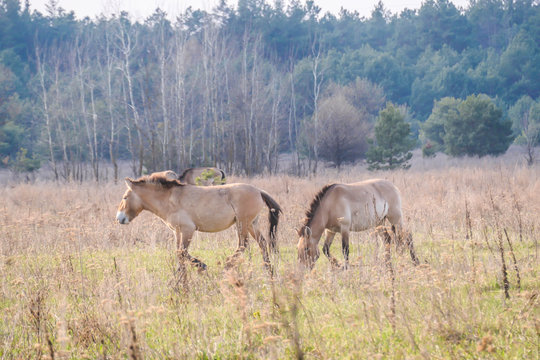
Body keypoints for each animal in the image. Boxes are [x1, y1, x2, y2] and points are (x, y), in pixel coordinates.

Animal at [115, 174, 280, 272]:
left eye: (124, 197)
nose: (119, 218)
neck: (170, 199)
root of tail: (258, 191)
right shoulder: (177, 231)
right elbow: (178, 253)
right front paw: (180, 277)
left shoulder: (188, 229)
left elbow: (182, 252)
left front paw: (201, 265)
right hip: (252, 224)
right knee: (262, 243)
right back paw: (268, 269)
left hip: (242, 224)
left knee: (243, 244)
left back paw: (227, 266)